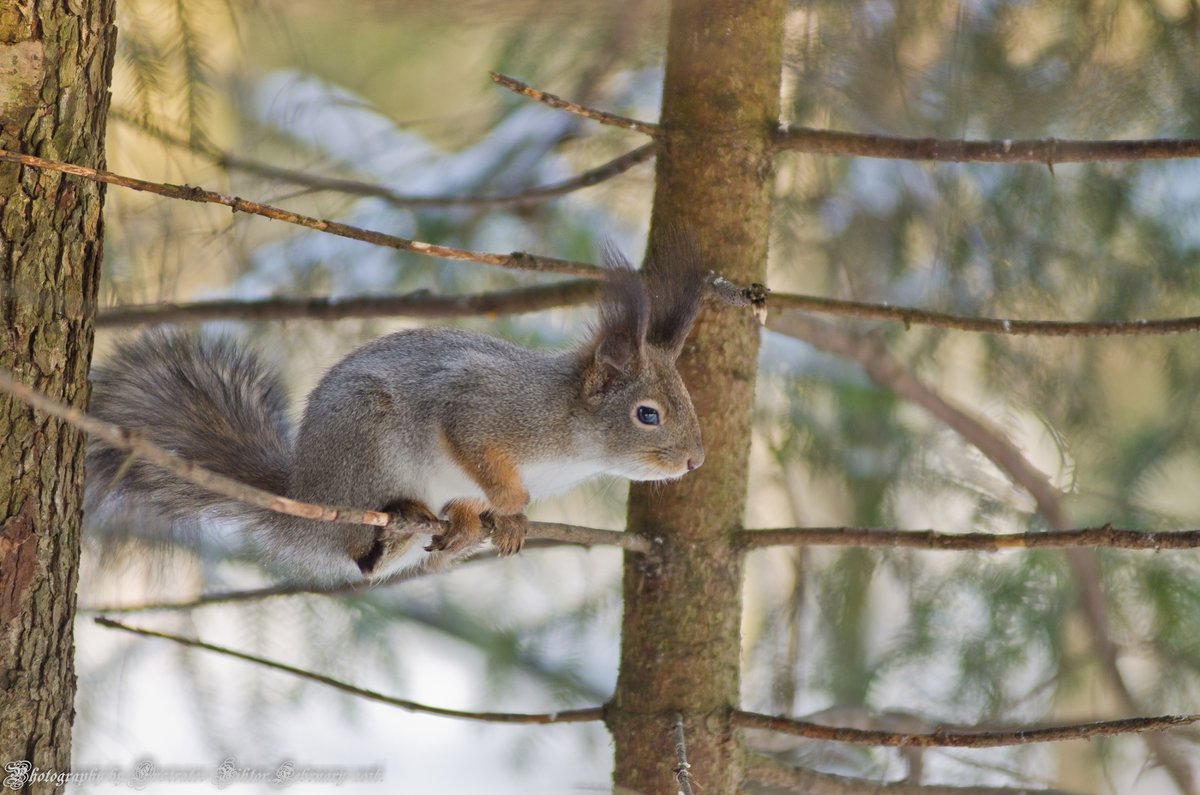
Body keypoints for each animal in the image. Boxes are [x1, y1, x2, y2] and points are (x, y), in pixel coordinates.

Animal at [88, 246, 705, 583]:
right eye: (647, 415)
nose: (696, 462)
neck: (571, 442)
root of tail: (306, 493)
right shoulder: (480, 407)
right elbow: (474, 447)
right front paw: (512, 504)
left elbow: (474, 494)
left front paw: (494, 521)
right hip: (366, 447)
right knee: (356, 545)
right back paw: (403, 513)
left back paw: (451, 531)